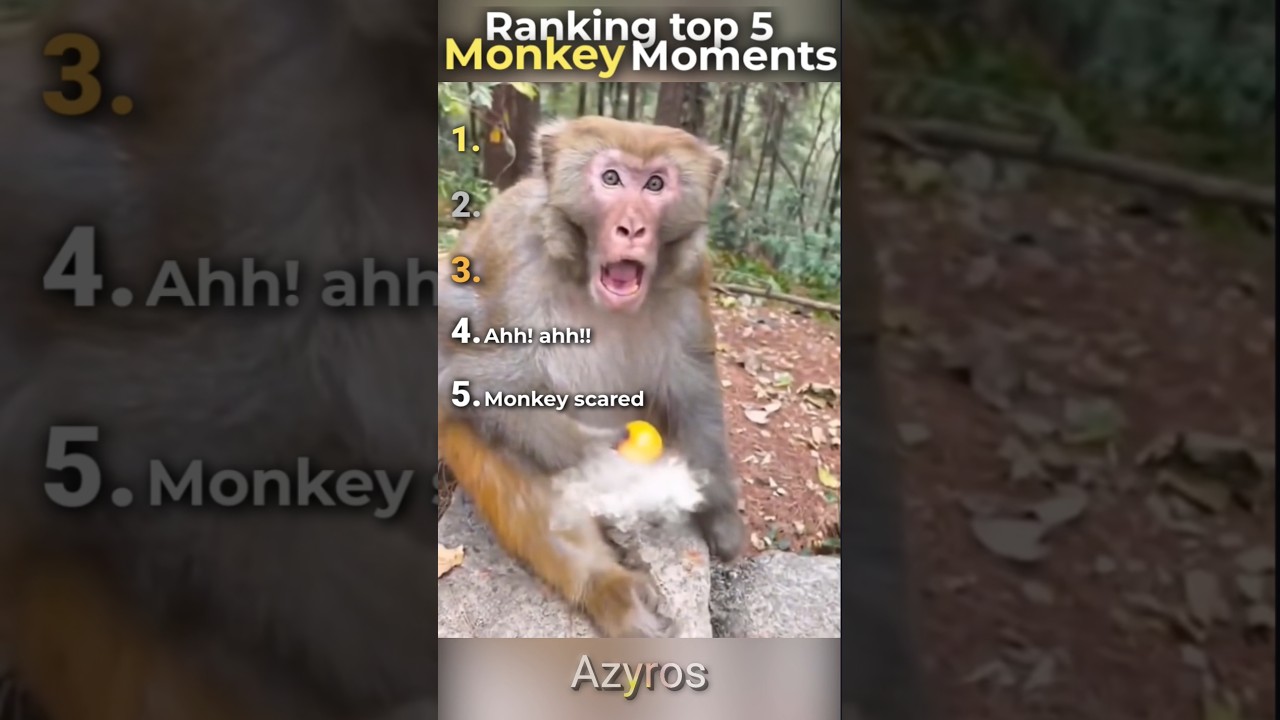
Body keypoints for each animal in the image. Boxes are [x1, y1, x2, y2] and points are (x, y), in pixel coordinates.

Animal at [437, 115, 746, 638]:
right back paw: (611, 589)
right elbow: (470, 379)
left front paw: (718, 509)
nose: (632, 227)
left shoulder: (692, 275)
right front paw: (602, 456)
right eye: (611, 179)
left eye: (656, 184)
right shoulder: (516, 264)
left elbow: (693, 384)